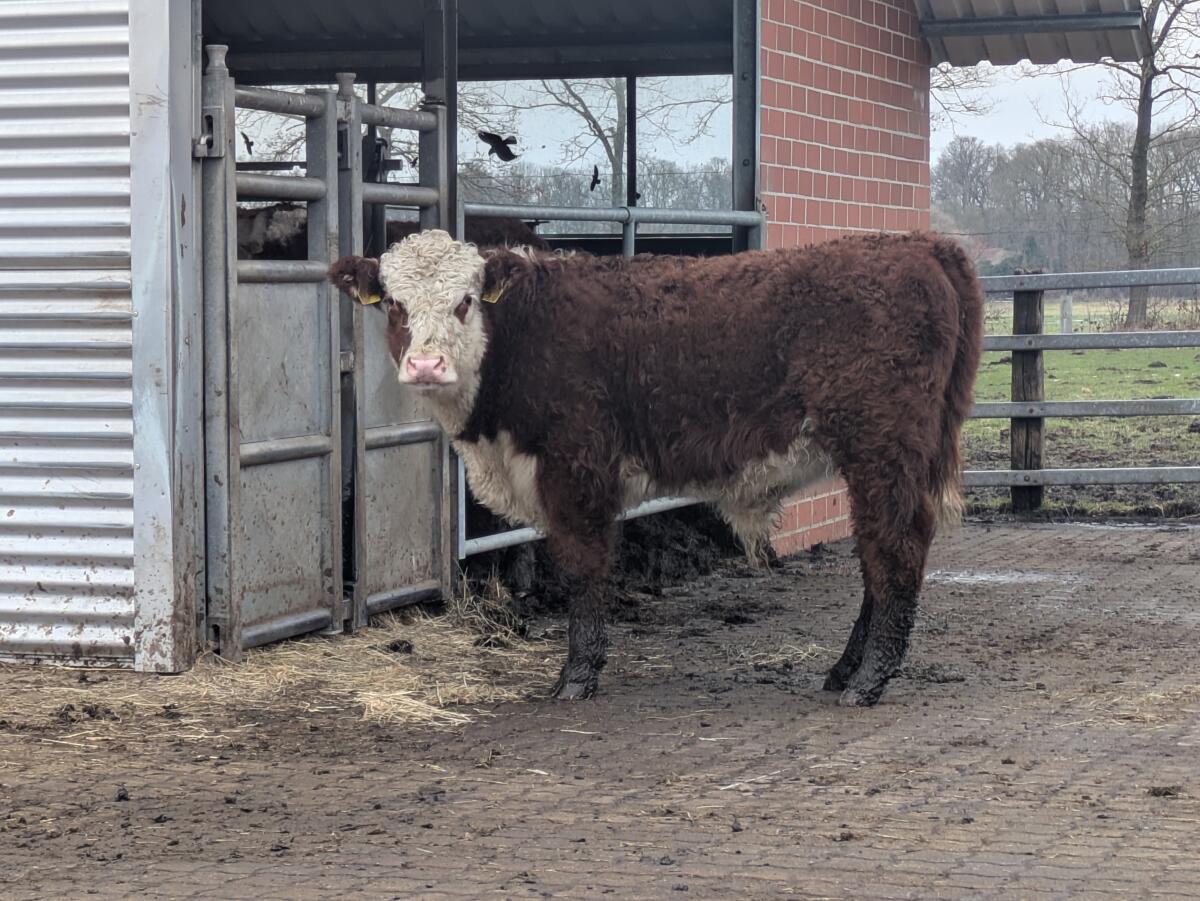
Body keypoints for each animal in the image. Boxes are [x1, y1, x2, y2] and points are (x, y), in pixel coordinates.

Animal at [328, 229, 984, 707]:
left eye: (465, 302)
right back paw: (845, 670)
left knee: (894, 549)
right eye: (394, 304)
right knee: (876, 555)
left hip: (882, 448)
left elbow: (584, 569)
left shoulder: (576, 468)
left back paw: (868, 680)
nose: (426, 365)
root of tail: (917, 244)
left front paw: (577, 676)